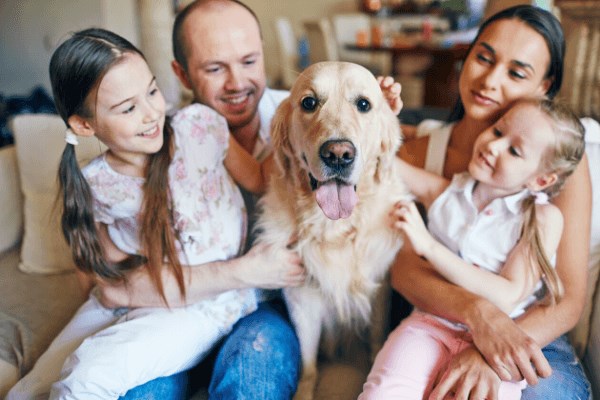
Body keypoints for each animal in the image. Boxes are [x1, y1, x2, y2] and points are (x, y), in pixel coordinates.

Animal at [255, 61, 410, 398]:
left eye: (364, 104)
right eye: (309, 102)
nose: (338, 154)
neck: (335, 229)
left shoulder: (379, 289)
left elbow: (376, 340)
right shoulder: (302, 298)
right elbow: (308, 363)